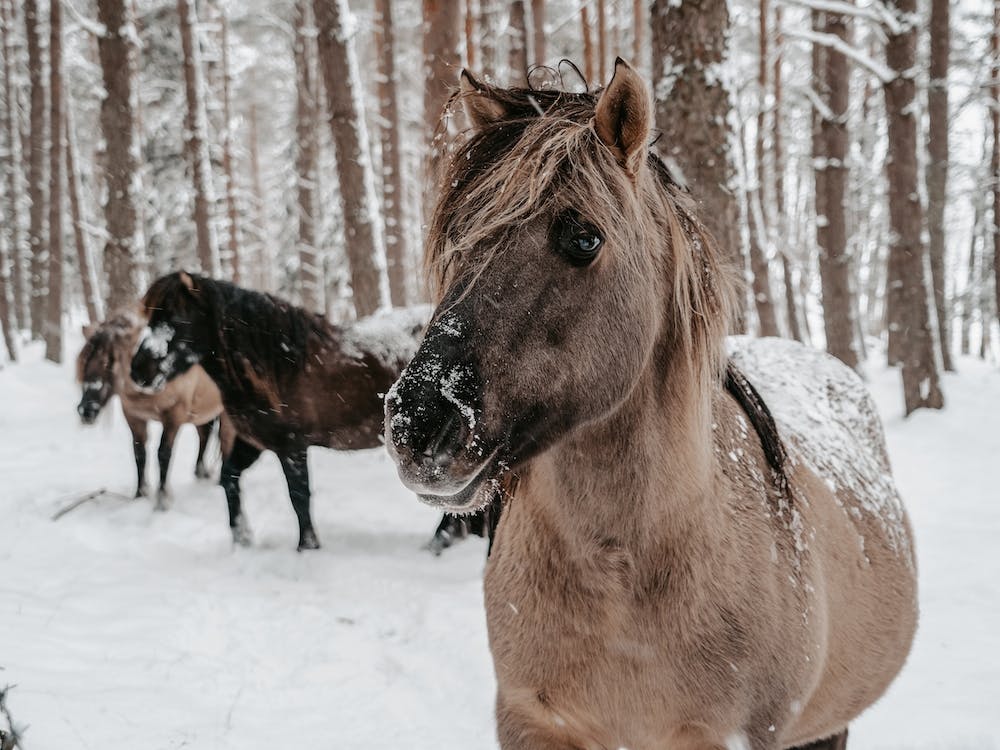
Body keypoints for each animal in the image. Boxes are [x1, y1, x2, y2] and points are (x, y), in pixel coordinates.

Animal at [76, 311, 233, 509]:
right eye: (85, 362)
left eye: (110, 362)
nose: (85, 411)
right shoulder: (134, 417)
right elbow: (139, 453)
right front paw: (139, 495)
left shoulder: (175, 415)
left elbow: (163, 454)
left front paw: (162, 501)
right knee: (204, 437)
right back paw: (201, 475)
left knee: (225, 442)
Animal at [128, 273, 430, 551]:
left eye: (176, 318)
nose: (138, 371)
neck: (280, 367)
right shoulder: (253, 443)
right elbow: (228, 478)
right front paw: (242, 538)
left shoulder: (292, 447)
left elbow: (299, 497)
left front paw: (307, 548)